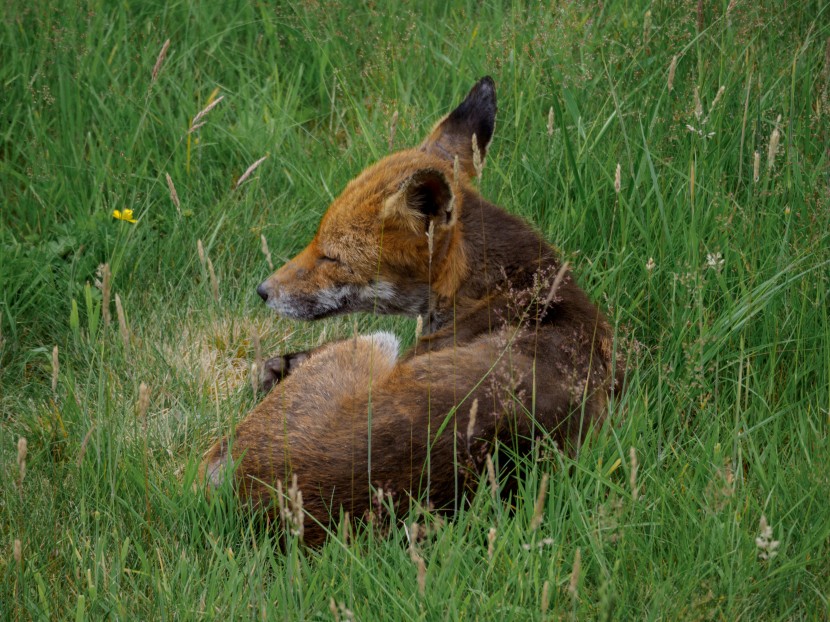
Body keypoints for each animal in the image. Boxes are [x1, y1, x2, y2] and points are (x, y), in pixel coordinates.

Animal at [200, 78, 624, 544]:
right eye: (316, 240)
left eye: (332, 257)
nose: (263, 291)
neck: (522, 294)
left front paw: (277, 367)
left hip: (377, 345)